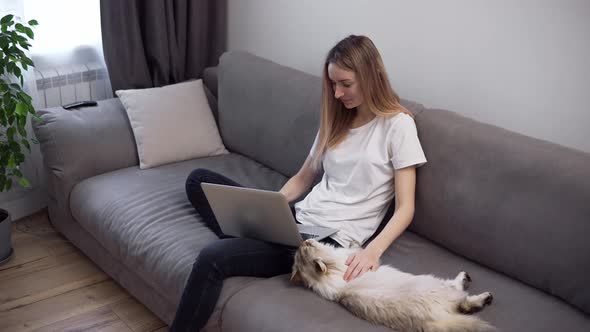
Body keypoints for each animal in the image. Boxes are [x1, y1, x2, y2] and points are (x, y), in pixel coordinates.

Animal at [292, 240, 494, 330]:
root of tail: (432, 320)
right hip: (437, 284)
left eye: (306, 245)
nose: (305, 240)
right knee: (463, 297)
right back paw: (479, 291)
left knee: (465, 306)